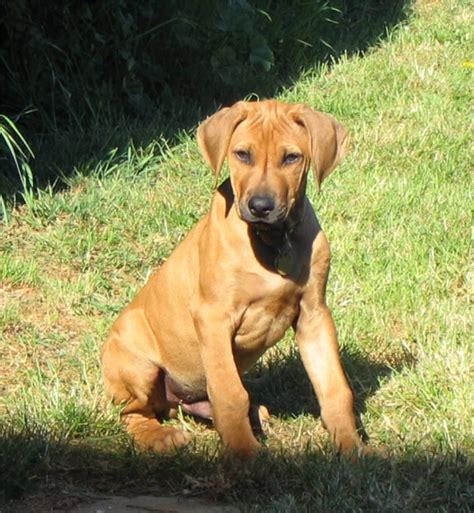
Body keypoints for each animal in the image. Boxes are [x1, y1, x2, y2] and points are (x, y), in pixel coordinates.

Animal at [102, 99, 364, 456]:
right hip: (136, 364)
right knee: (133, 413)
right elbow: (229, 394)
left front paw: (352, 447)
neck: (271, 240)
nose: (261, 206)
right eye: (242, 154)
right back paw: (159, 436)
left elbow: (334, 387)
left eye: (291, 158)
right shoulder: (213, 318)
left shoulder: (314, 314)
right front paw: (245, 455)